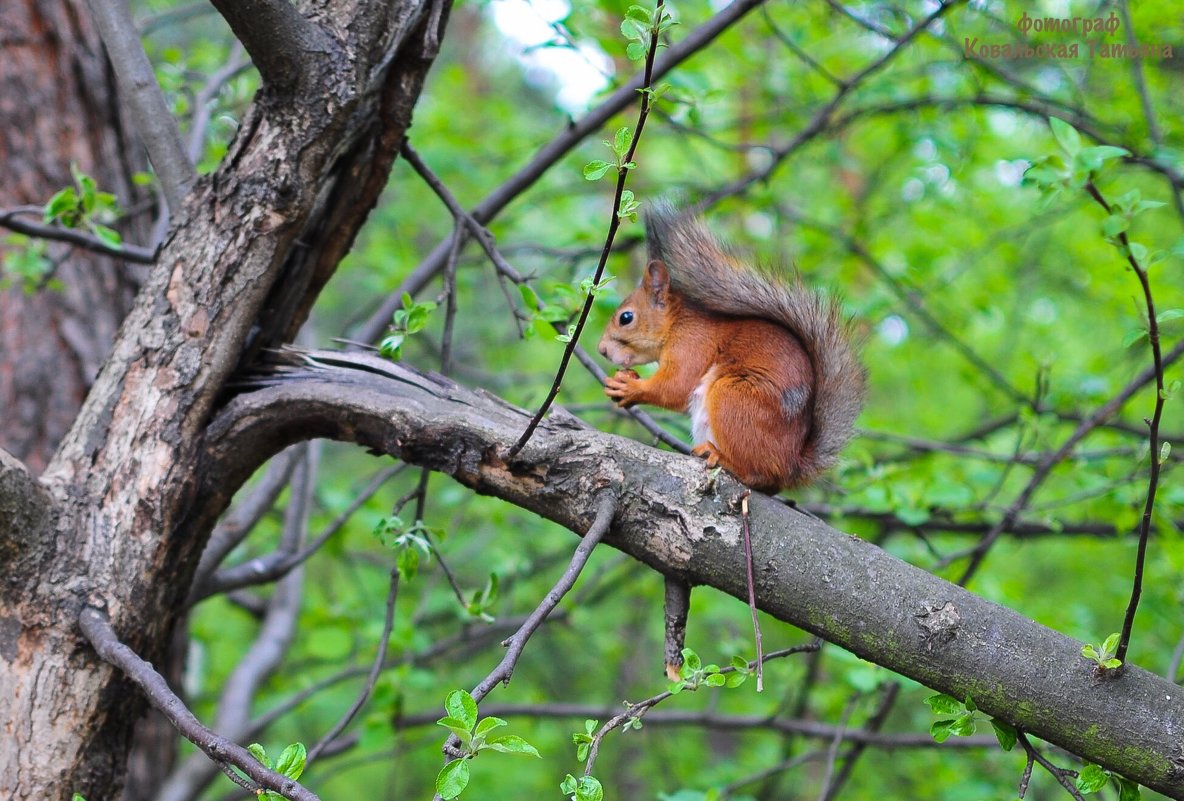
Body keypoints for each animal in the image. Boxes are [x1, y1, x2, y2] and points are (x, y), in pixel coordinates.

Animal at [596, 203, 866, 489]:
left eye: (626, 318)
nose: (602, 350)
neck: (676, 324)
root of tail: (792, 463)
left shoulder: (693, 345)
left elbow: (676, 386)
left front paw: (630, 388)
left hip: (734, 398)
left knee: (758, 473)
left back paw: (719, 456)